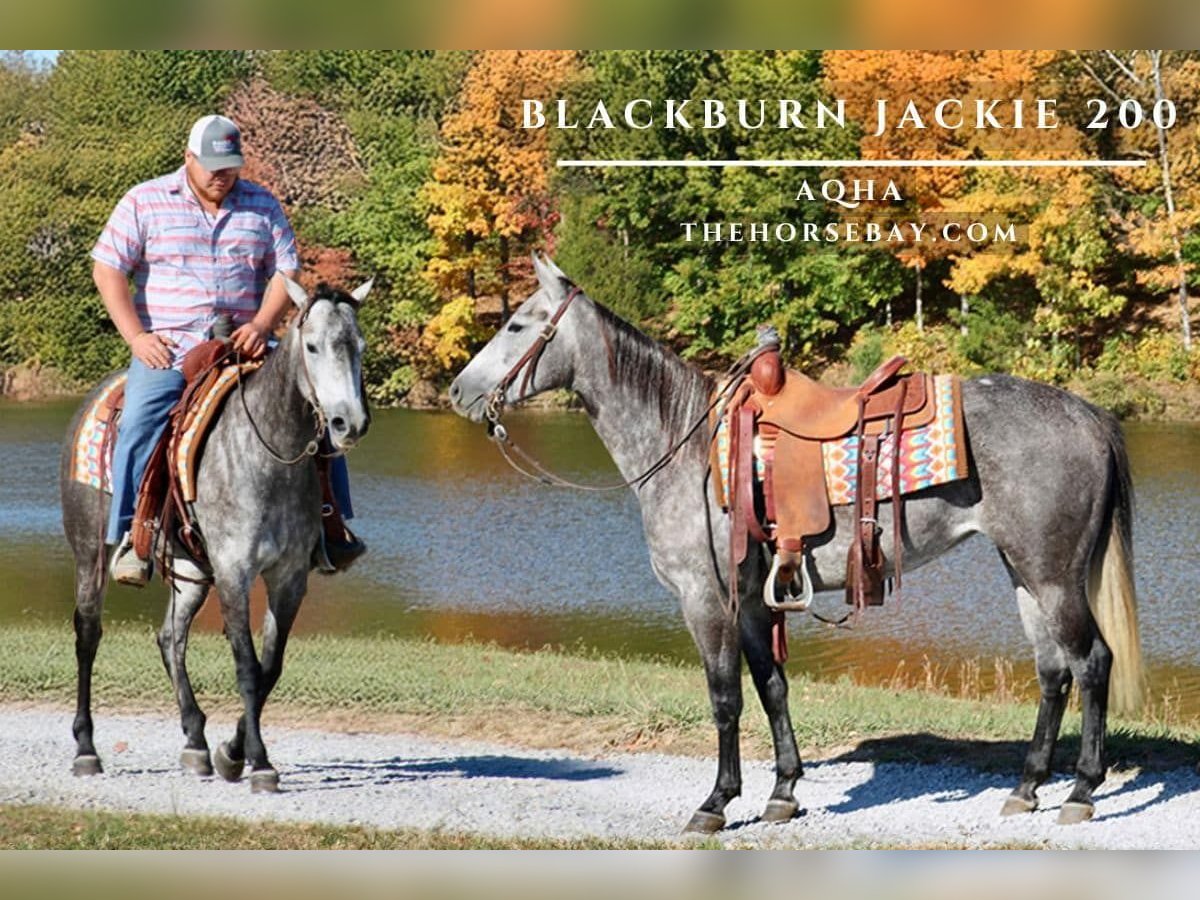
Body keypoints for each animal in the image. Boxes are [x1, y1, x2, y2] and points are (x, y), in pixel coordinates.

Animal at [59, 278, 369, 792]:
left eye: (359, 346)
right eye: (312, 346)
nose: (350, 423)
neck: (268, 454)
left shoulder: (288, 577)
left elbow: (270, 667)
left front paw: (230, 752)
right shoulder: (234, 571)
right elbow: (247, 665)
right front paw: (258, 762)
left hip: (191, 570)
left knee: (170, 638)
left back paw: (195, 740)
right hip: (90, 554)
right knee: (88, 634)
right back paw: (86, 749)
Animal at [451, 254, 1142, 830]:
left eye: (516, 324)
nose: (459, 391)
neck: (685, 446)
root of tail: (1090, 415)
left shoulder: (707, 599)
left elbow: (725, 697)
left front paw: (716, 802)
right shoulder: (756, 603)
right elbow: (772, 686)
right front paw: (783, 792)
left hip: (1052, 576)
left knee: (1091, 663)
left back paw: (1082, 792)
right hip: (1025, 573)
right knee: (1053, 672)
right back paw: (1026, 788)